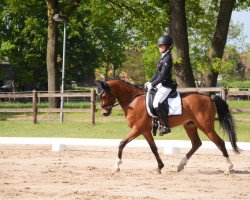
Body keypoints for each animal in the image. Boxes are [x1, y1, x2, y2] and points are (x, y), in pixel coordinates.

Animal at [96, 78, 239, 173]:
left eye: (103, 95)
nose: (104, 112)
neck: (133, 101)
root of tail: (209, 98)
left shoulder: (138, 129)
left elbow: (122, 143)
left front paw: (116, 166)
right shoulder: (145, 131)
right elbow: (153, 148)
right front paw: (160, 167)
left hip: (206, 127)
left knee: (219, 142)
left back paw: (229, 167)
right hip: (190, 125)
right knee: (196, 143)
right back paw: (180, 165)